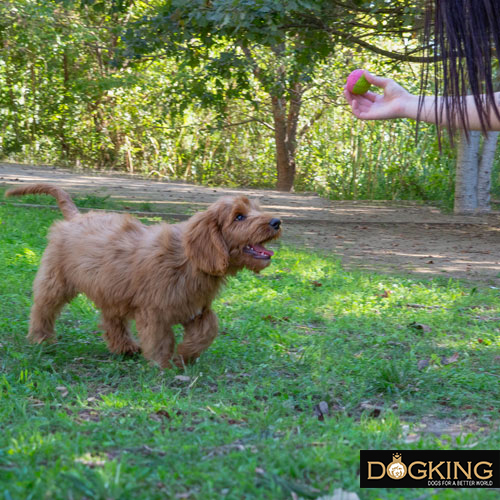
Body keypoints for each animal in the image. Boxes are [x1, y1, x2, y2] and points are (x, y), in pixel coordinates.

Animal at [5, 184, 282, 368]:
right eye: (239, 216)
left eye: (255, 209)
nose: (277, 221)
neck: (187, 260)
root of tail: (75, 217)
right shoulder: (154, 310)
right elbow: (161, 339)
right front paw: (164, 365)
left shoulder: (197, 308)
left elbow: (208, 329)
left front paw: (186, 354)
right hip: (56, 281)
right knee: (43, 309)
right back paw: (41, 339)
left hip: (111, 289)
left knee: (111, 320)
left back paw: (124, 348)